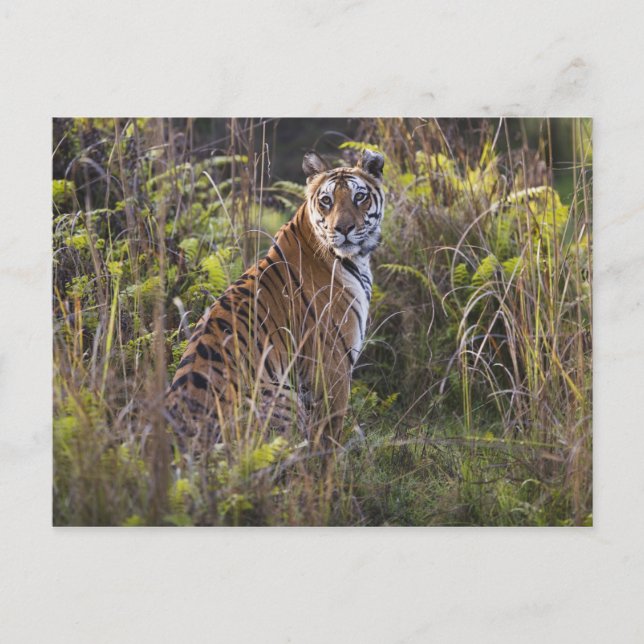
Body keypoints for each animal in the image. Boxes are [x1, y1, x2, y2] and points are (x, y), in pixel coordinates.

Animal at [165, 149, 386, 451]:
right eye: (327, 201)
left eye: (359, 197)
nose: (343, 228)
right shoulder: (332, 365)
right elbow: (328, 436)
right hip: (282, 396)